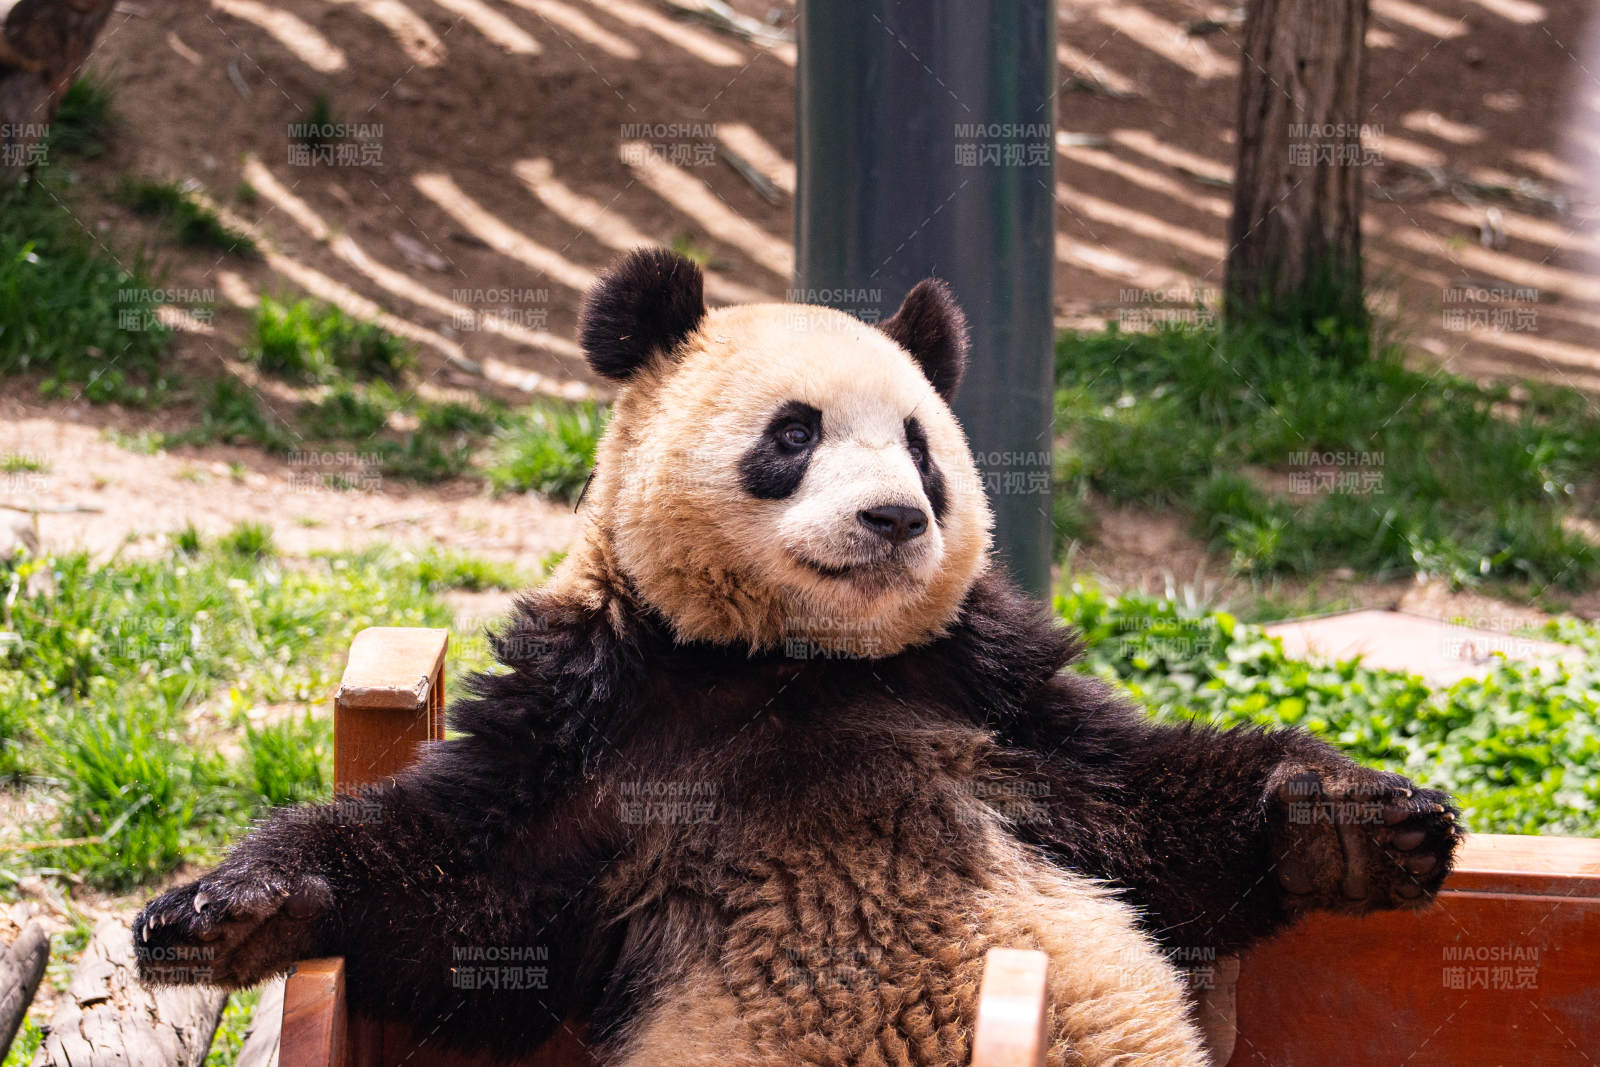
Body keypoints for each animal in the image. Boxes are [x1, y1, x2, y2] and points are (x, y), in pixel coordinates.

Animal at [136, 248, 1461, 1066]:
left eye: (921, 446)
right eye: (793, 434)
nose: (894, 518)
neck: (790, 661)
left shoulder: (980, 691)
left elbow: (1149, 810)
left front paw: (1361, 821)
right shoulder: (601, 726)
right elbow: (460, 897)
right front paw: (218, 910)